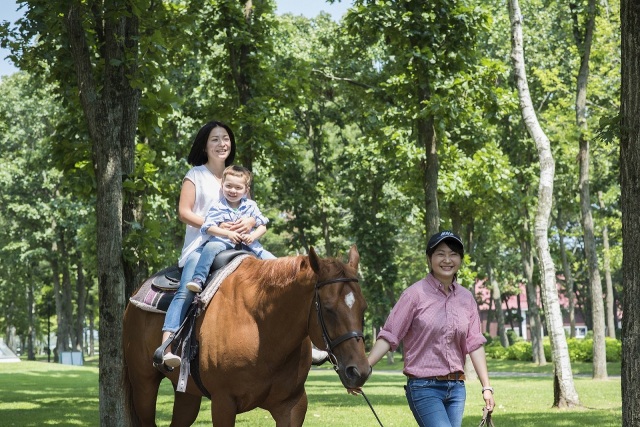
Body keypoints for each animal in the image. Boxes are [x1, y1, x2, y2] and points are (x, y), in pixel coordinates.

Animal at [122, 246, 370, 426]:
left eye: (363, 308)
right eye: (328, 309)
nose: (358, 371)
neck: (262, 329)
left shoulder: (293, 405)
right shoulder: (223, 403)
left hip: (187, 393)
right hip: (143, 385)